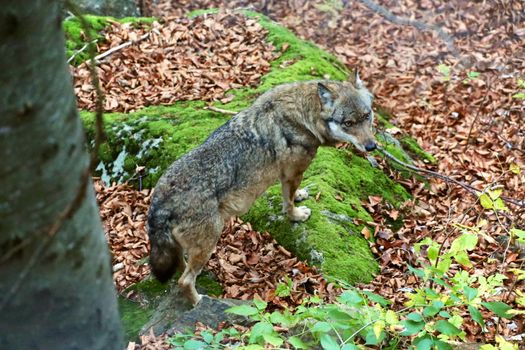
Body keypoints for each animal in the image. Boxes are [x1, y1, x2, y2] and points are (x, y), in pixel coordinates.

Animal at [147, 72, 376, 304]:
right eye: (348, 123)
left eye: (367, 116)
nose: (372, 146)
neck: (305, 115)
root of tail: (158, 202)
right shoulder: (292, 173)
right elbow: (288, 201)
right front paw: (296, 215)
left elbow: (293, 195)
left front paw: (301, 196)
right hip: (211, 239)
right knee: (184, 281)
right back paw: (199, 302)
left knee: (180, 267)